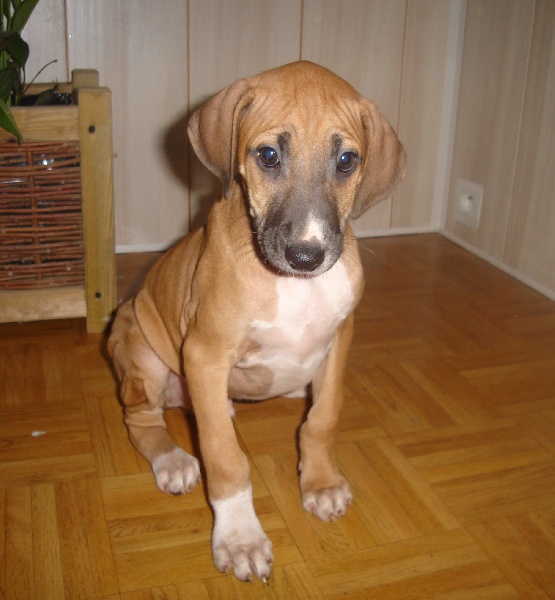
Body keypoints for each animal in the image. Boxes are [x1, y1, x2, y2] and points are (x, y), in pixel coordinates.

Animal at [108, 61, 405, 583]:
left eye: (346, 161)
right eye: (268, 155)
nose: (306, 256)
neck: (295, 287)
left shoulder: (339, 341)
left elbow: (323, 417)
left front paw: (320, 482)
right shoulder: (204, 353)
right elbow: (225, 457)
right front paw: (239, 536)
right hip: (143, 350)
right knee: (141, 419)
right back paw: (173, 460)